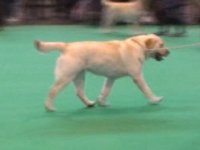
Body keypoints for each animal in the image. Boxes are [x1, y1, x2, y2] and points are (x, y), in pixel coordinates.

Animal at [34, 34, 169, 111]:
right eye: (161, 45)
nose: (169, 51)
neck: (139, 45)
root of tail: (67, 46)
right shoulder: (137, 76)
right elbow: (147, 89)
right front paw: (155, 99)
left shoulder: (110, 78)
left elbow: (105, 91)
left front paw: (102, 103)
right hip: (66, 77)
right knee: (53, 91)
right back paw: (49, 107)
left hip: (79, 75)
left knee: (79, 92)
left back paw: (89, 104)